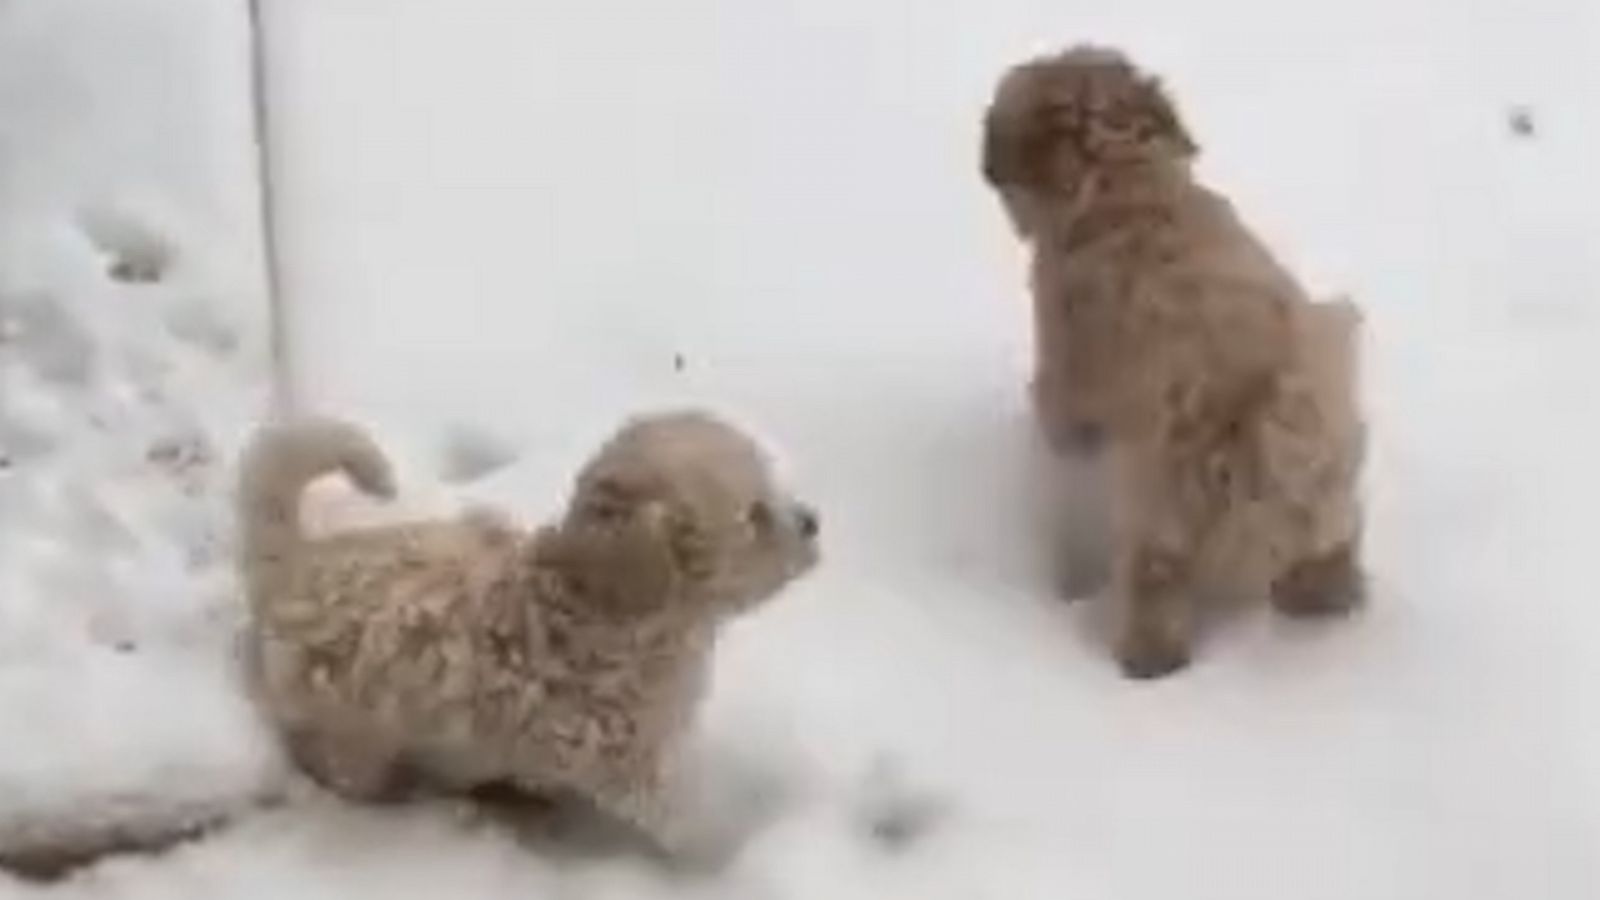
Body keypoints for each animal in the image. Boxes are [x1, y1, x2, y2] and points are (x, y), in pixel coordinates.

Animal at [233, 413, 825, 845]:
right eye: (754, 517)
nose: (813, 521)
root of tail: (290, 563)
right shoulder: (629, 762)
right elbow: (686, 818)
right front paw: (737, 842)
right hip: (349, 735)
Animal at [979, 42, 1369, 672]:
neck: (1123, 184)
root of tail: (1255, 401)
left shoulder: (1066, 381)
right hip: (1331, 468)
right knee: (1333, 545)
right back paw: (1327, 600)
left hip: (1157, 498)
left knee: (1155, 586)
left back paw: (1143, 660)